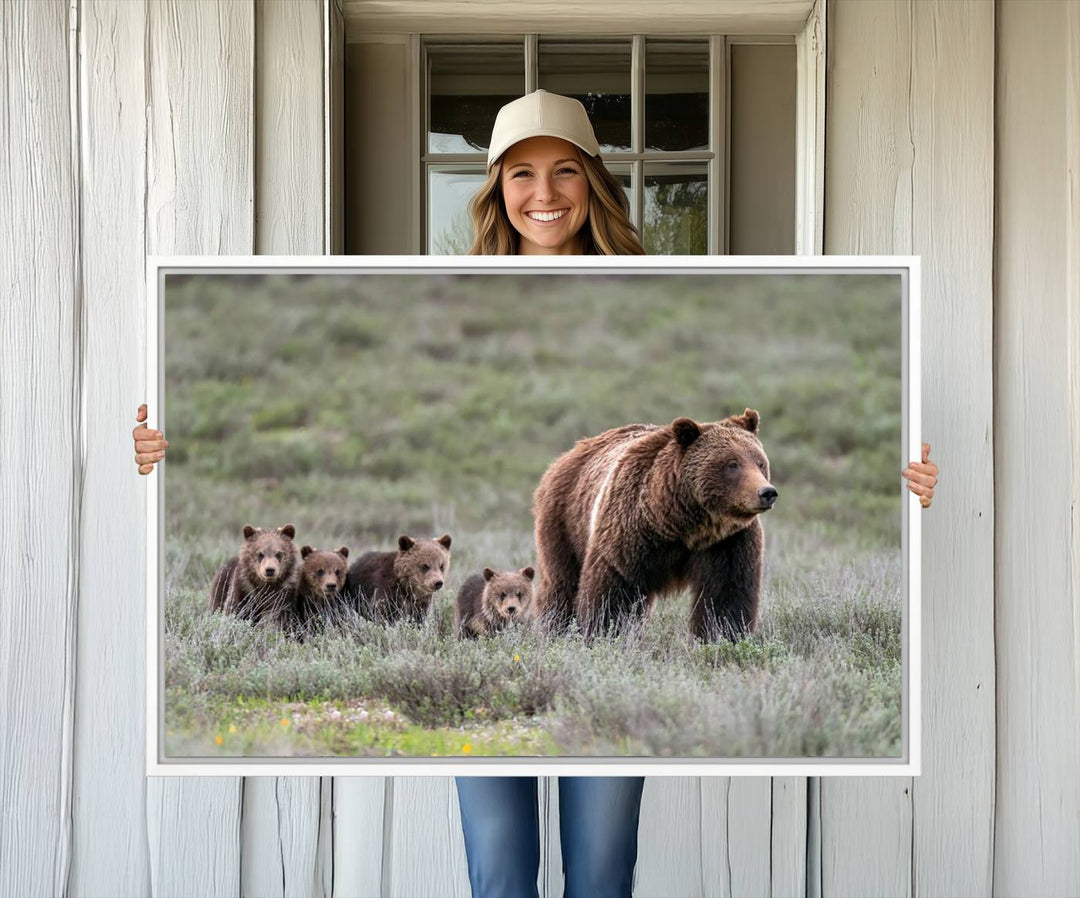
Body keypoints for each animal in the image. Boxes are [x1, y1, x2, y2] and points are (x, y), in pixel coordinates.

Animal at [531, 410, 777, 644]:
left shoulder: (728, 541)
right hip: (565, 521)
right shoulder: (629, 532)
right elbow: (613, 592)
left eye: (760, 462)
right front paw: (604, 635)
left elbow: (726, 596)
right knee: (561, 584)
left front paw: (722, 637)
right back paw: (555, 629)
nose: (767, 492)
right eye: (732, 464)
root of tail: (568, 454)